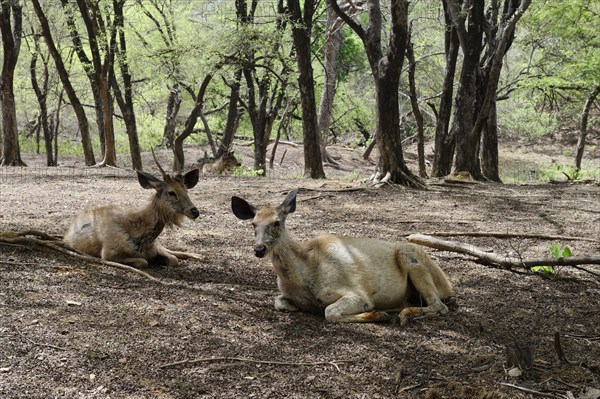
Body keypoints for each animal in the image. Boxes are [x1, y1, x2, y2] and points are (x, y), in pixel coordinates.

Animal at [64, 153, 202, 268]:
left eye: (186, 190)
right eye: (171, 192)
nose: (195, 211)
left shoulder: (155, 248)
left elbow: (173, 260)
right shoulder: (108, 253)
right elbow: (144, 262)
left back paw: (200, 255)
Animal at [232, 190, 452, 324]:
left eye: (277, 222)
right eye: (253, 224)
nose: (259, 249)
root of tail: (447, 285)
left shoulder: (356, 293)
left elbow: (330, 312)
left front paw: (378, 314)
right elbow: (278, 302)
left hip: (411, 255)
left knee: (440, 306)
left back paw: (403, 314)